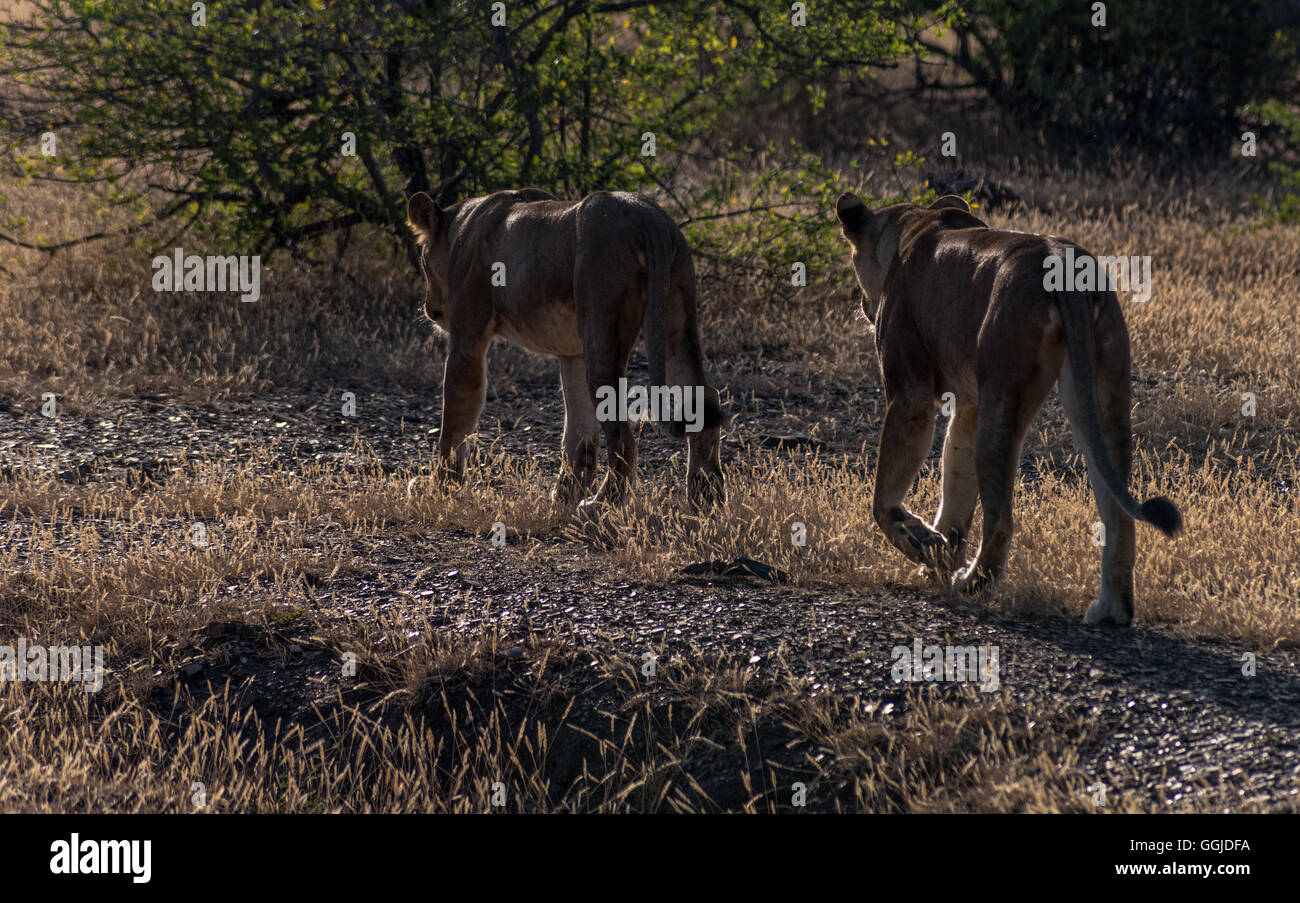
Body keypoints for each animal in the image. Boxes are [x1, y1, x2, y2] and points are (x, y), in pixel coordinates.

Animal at [405, 187, 728, 511]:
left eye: (423, 265)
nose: (429, 310)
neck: (460, 227)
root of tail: (646, 214)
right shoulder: (574, 353)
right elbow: (579, 433)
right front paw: (564, 497)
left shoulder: (468, 338)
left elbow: (453, 424)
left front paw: (438, 489)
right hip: (675, 312)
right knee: (705, 400)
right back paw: (706, 499)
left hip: (603, 326)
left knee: (623, 436)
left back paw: (601, 505)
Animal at [837, 193, 1185, 626]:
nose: (862, 306)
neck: (914, 223)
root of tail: (1063, 258)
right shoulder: (969, 404)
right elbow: (955, 480)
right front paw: (938, 554)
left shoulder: (910, 392)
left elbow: (884, 496)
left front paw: (923, 544)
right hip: (1104, 390)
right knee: (1118, 510)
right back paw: (1111, 610)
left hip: (1003, 390)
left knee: (1001, 519)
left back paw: (970, 584)